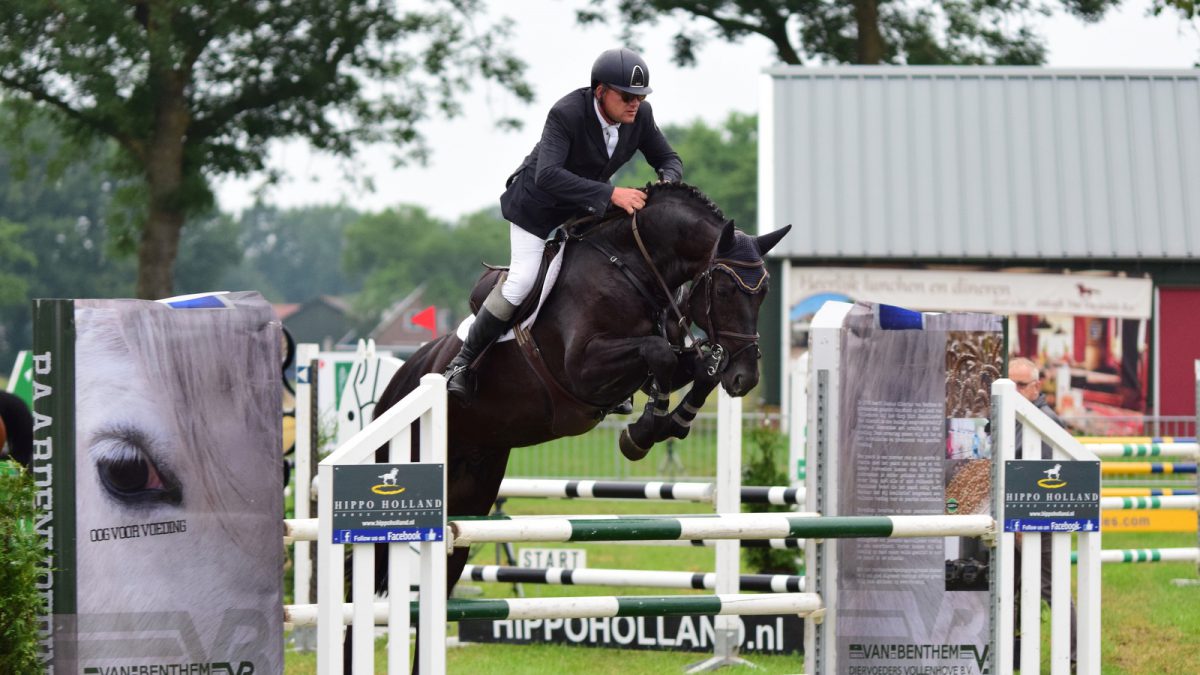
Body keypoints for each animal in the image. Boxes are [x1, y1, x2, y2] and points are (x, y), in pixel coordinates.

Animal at [350, 182, 792, 667]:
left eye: (764, 293)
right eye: (727, 291)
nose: (746, 378)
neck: (633, 269)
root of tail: (406, 377)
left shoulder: (668, 359)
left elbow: (698, 368)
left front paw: (666, 424)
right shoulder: (584, 369)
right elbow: (657, 351)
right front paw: (644, 431)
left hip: (471, 493)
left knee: (442, 579)